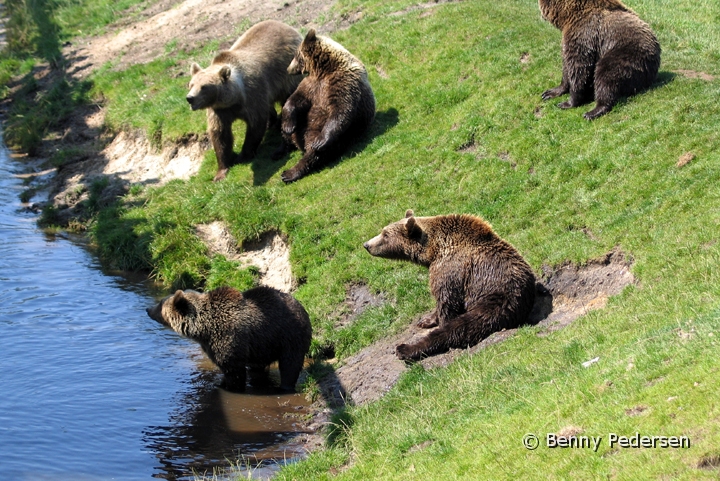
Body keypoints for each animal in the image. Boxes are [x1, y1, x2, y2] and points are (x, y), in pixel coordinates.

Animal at [147, 284, 312, 390]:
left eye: (161, 303)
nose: (148, 309)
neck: (204, 329)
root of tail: (302, 306)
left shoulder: (228, 339)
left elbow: (234, 370)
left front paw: (230, 387)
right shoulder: (211, 344)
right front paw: (221, 383)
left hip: (290, 337)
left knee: (290, 364)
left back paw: (286, 386)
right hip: (264, 345)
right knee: (258, 366)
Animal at [187, 19, 302, 182]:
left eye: (204, 87)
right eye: (191, 84)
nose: (190, 98)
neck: (234, 98)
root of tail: (286, 26)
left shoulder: (252, 96)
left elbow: (255, 125)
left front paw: (243, 155)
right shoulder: (219, 110)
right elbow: (220, 135)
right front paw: (221, 170)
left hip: (287, 73)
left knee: (287, 96)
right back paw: (272, 122)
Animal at [278, 29, 376, 184]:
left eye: (295, 55)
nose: (288, 68)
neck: (324, 69)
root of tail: (300, 144)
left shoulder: (342, 84)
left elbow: (341, 111)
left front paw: (320, 141)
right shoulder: (312, 85)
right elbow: (295, 99)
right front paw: (288, 126)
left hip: (336, 135)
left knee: (315, 154)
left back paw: (289, 173)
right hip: (302, 126)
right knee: (285, 133)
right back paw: (280, 149)